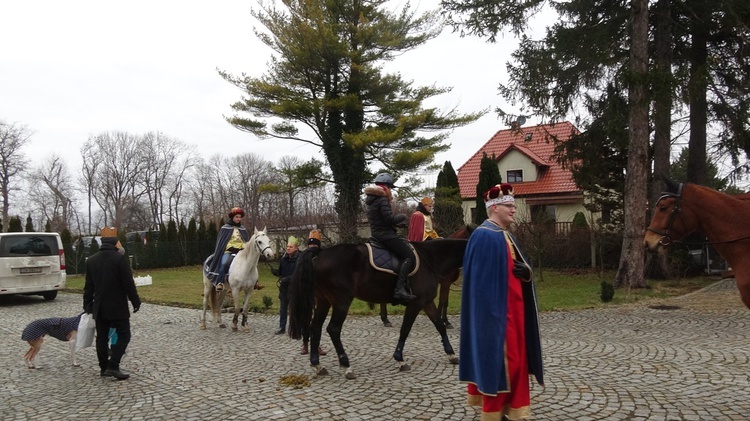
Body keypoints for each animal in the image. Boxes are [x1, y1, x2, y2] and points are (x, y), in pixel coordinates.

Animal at [290, 236, 470, 378]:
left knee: (315, 327)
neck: (431, 258)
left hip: (323, 301)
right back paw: (346, 366)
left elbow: (440, 326)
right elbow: (405, 329)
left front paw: (452, 354)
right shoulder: (416, 303)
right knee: (333, 329)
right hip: (341, 301)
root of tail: (320, 253)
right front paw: (399, 359)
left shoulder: (427, 302)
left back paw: (317, 365)